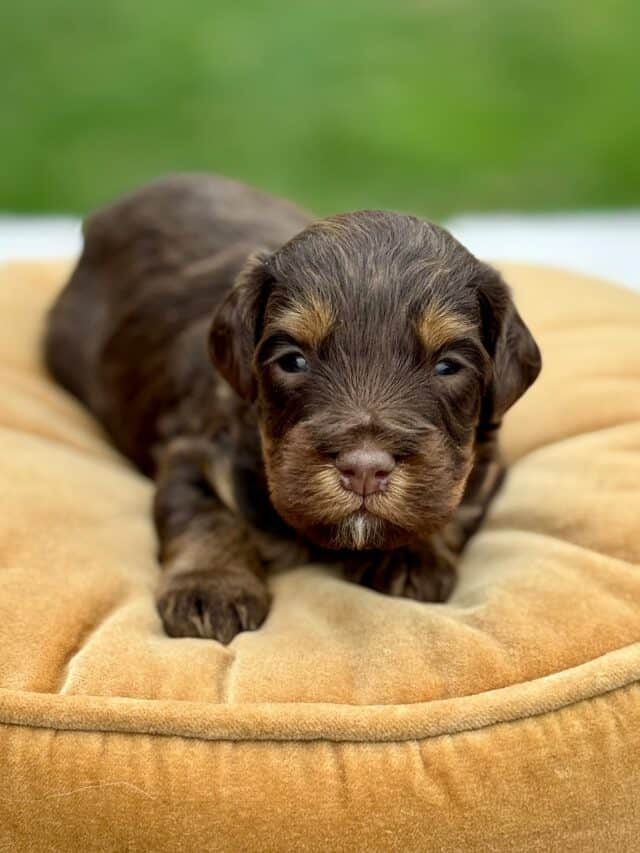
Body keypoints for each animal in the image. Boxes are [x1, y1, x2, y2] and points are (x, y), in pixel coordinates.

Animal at [45, 171, 544, 640]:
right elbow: (202, 513)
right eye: (292, 360)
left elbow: (456, 509)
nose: (365, 469)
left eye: (447, 366)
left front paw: (411, 554)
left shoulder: (489, 468)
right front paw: (211, 588)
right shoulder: (191, 448)